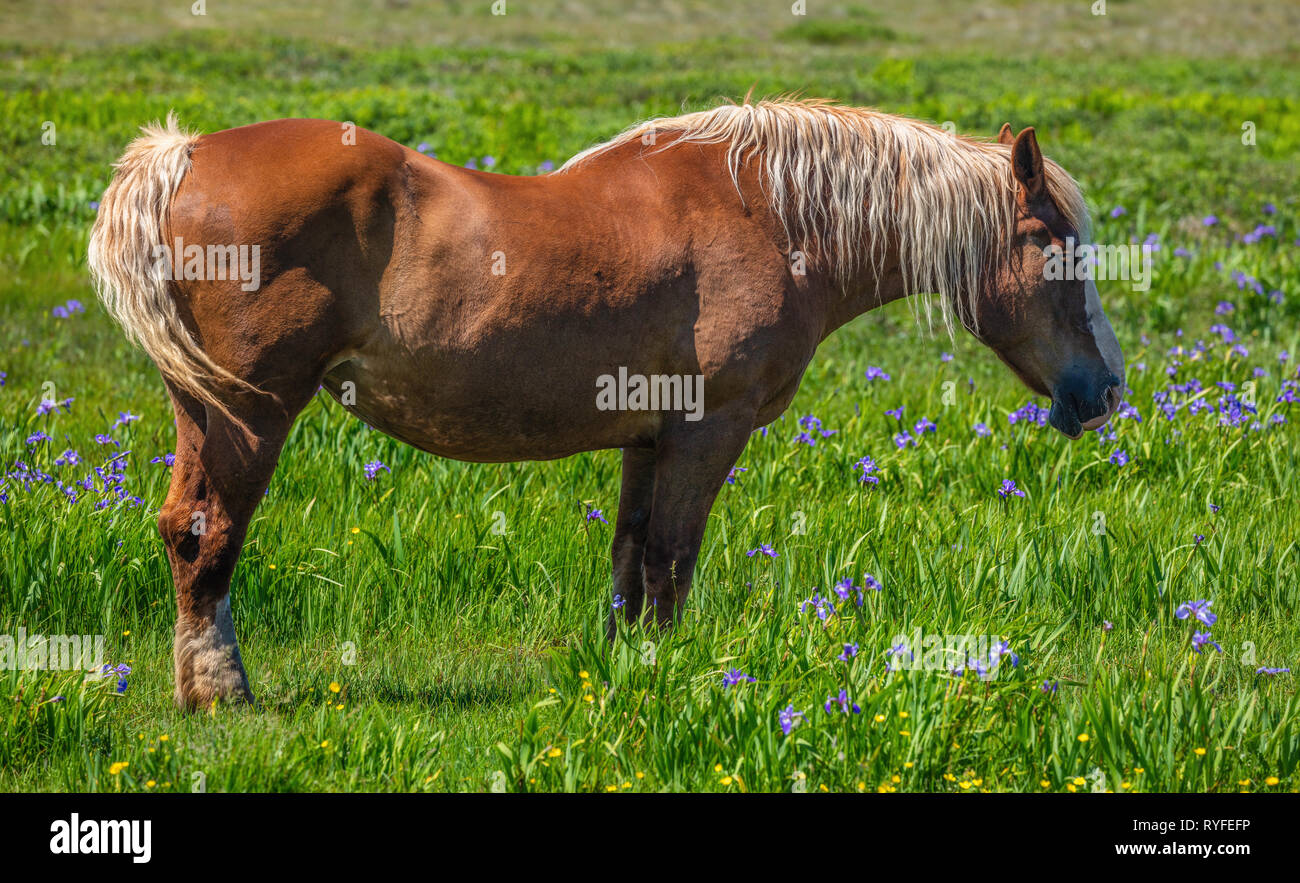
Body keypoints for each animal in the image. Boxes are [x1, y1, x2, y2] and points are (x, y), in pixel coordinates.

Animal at [88, 98, 1125, 710]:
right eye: (1055, 243)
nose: (1107, 389)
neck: (768, 212)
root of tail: (184, 157)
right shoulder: (709, 430)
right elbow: (672, 560)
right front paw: (667, 675)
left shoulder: (647, 435)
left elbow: (630, 558)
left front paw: (625, 667)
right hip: (252, 413)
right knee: (210, 534)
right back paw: (221, 688)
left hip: (202, 409)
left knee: (181, 526)